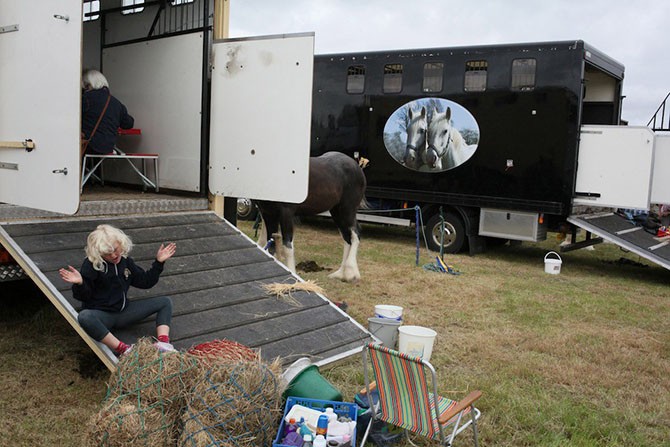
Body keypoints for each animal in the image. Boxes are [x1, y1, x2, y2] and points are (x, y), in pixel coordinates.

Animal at [255, 152, 368, 282]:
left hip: (347, 209)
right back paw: (341, 274)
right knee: (347, 237)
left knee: (355, 233)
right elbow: (271, 245)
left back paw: (350, 273)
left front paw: (292, 274)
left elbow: (287, 246)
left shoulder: (286, 213)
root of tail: (357, 166)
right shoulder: (268, 214)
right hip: (336, 211)